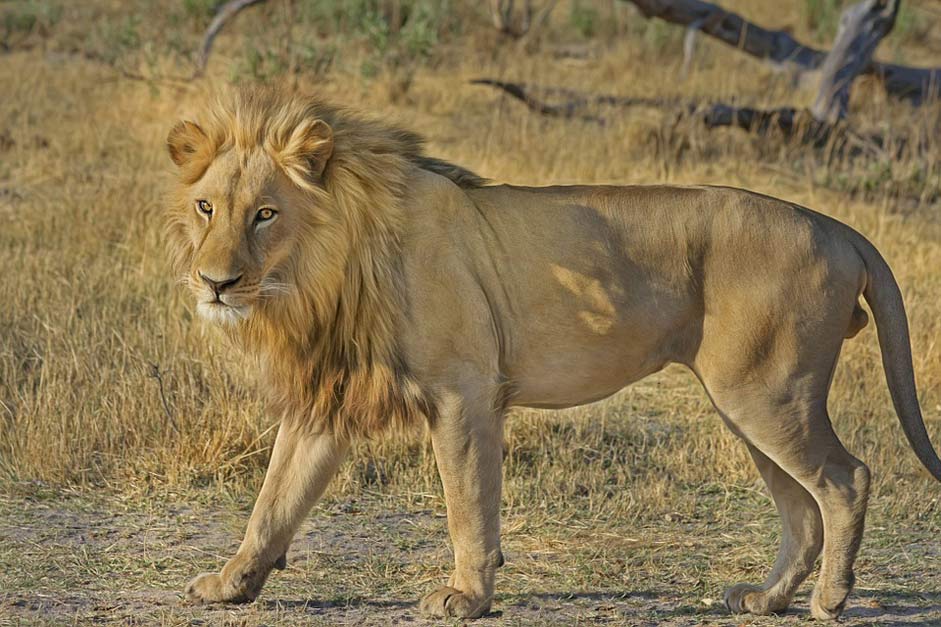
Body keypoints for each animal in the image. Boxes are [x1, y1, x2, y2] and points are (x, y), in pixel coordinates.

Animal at [167, 86, 940, 620]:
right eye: (207, 207)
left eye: (266, 213)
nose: (214, 282)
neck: (322, 273)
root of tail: (836, 225)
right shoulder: (327, 399)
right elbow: (273, 501)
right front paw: (231, 584)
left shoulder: (464, 391)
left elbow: (468, 504)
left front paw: (465, 597)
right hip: (747, 401)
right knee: (801, 509)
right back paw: (766, 599)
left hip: (766, 393)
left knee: (845, 479)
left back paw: (830, 601)